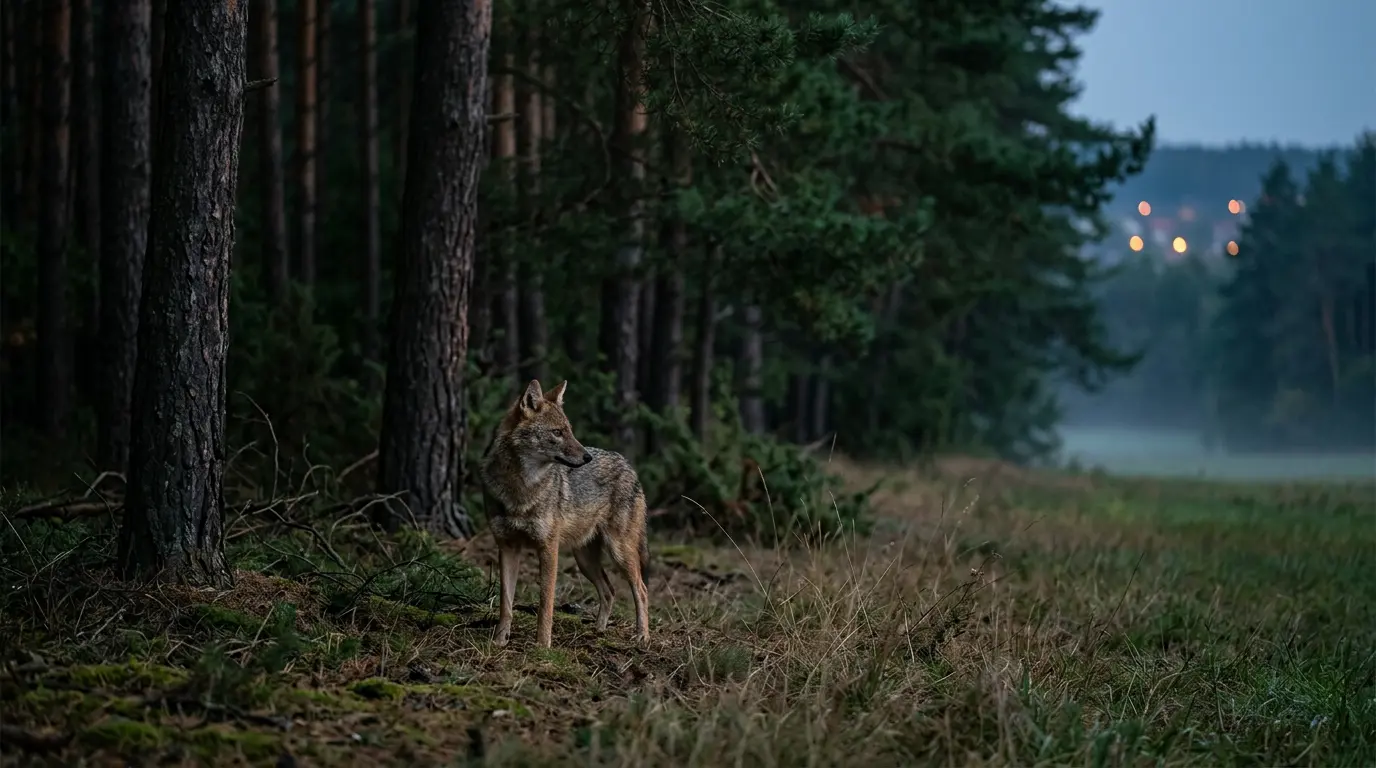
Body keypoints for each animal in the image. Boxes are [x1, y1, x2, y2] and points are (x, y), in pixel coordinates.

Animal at [478, 378, 651, 648]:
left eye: (569, 430)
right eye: (557, 433)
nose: (587, 457)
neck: (521, 488)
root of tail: (628, 464)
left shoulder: (549, 548)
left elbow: (545, 604)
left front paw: (542, 646)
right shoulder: (507, 547)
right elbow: (506, 603)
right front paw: (499, 641)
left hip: (619, 552)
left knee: (641, 591)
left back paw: (643, 636)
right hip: (585, 560)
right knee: (609, 591)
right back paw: (598, 631)